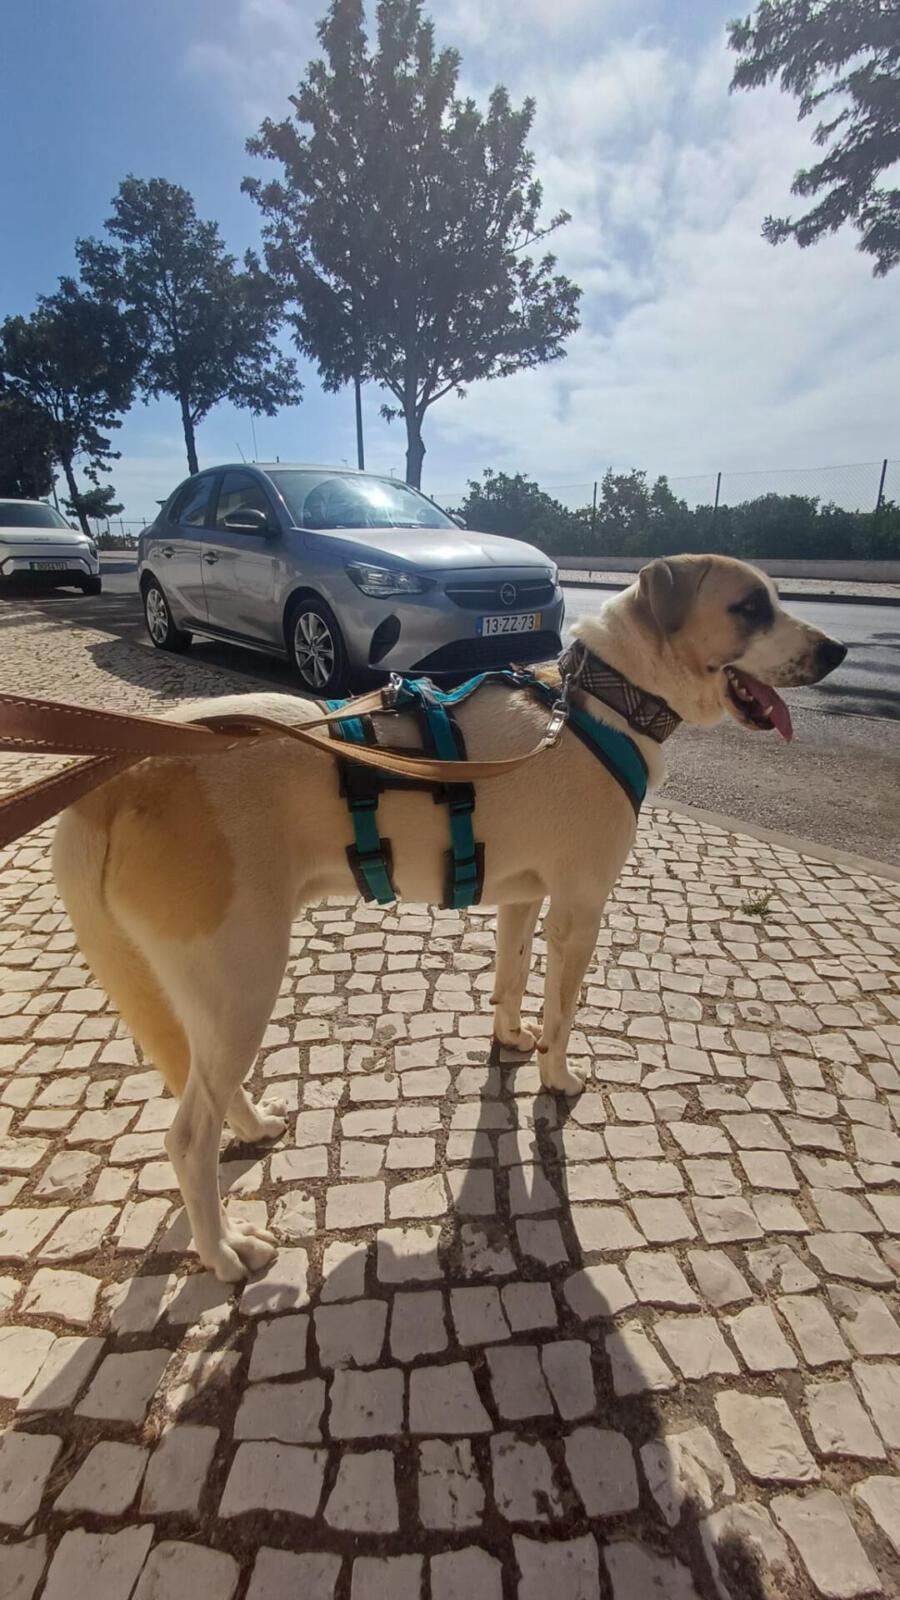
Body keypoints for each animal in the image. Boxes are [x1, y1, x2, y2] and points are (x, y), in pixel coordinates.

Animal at [52, 555, 846, 1282]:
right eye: (750, 607)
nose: (836, 650)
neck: (601, 704)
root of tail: (112, 775)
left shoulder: (524, 899)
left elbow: (511, 981)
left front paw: (511, 1039)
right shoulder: (580, 911)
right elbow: (562, 1014)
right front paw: (555, 1077)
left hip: (216, 998)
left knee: (210, 1095)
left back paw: (252, 1130)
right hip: (242, 980)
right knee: (188, 1137)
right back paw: (223, 1251)